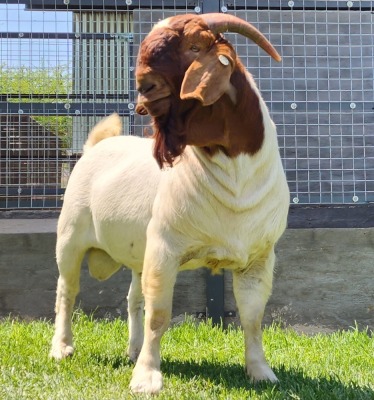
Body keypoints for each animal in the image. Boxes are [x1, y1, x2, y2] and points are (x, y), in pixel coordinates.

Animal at [50, 12, 290, 394]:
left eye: (194, 47)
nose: (144, 87)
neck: (235, 180)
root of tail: (94, 146)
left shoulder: (259, 257)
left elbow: (253, 317)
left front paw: (261, 372)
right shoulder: (165, 248)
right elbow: (159, 315)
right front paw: (147, 378)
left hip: (137, 250)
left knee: (133, 299)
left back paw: (133, 350)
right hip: (70, 238)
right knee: (67, 291)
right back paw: (62, 348)